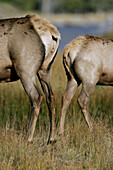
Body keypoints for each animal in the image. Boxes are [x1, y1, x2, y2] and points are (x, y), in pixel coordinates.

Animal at [0, 14, 60, 143]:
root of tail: (52, 33)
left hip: (25, 68)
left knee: (37, 97)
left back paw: (28, 137)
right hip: (45, 68)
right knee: (50, 96)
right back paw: (51, 138)